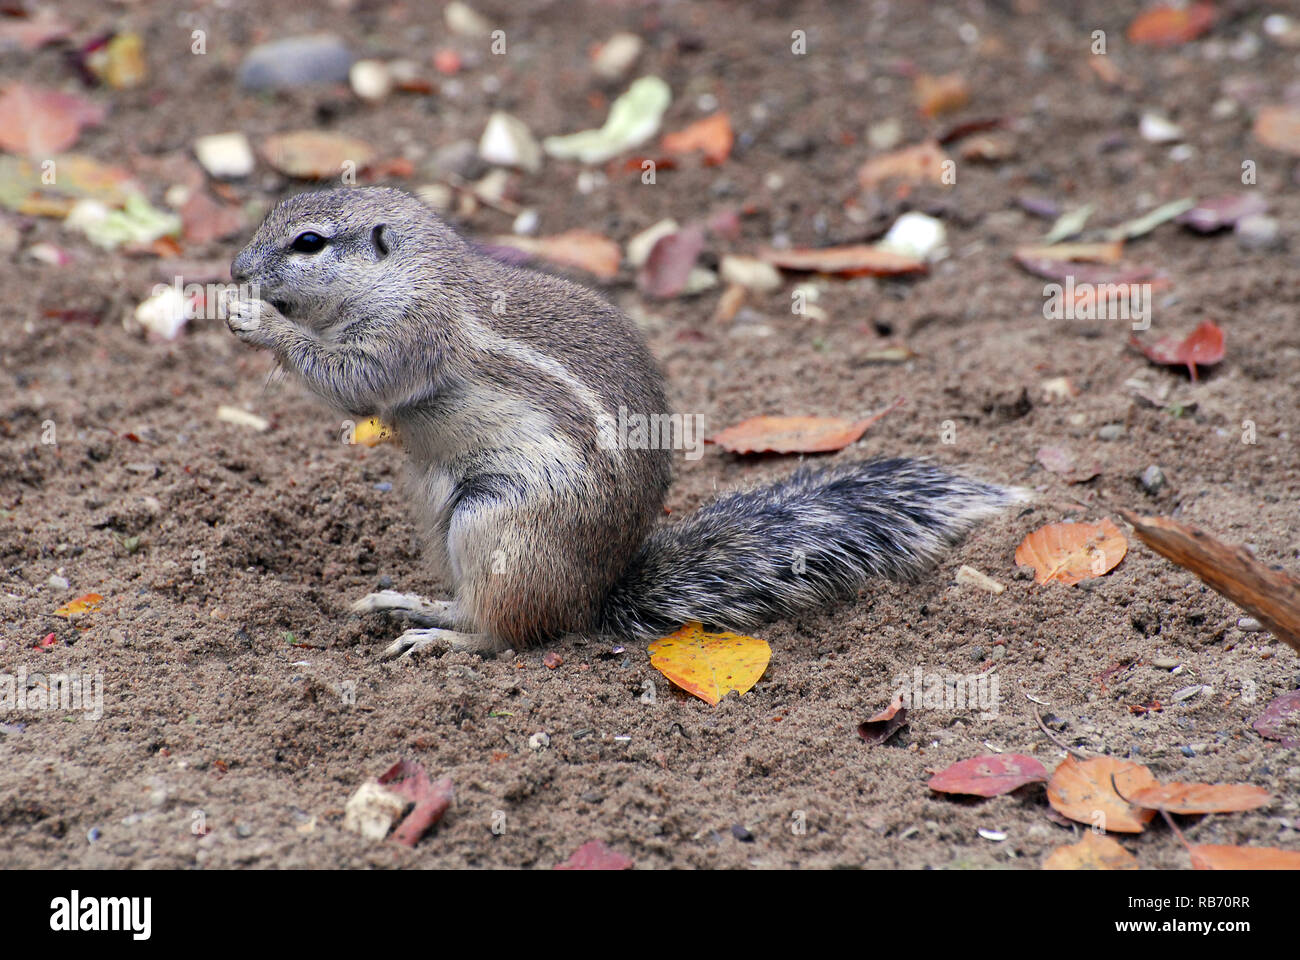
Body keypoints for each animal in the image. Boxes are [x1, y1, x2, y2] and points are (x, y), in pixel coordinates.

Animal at [226, 184, 1024, 655]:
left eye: (309, 242)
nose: (235, 268)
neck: (411, 275)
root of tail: (597, 596)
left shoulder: (410, 336)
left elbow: (354, 384)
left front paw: (255, 322)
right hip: (439, 509)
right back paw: (411, 603)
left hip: (496, 522)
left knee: (509, 632)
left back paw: (441, 639)